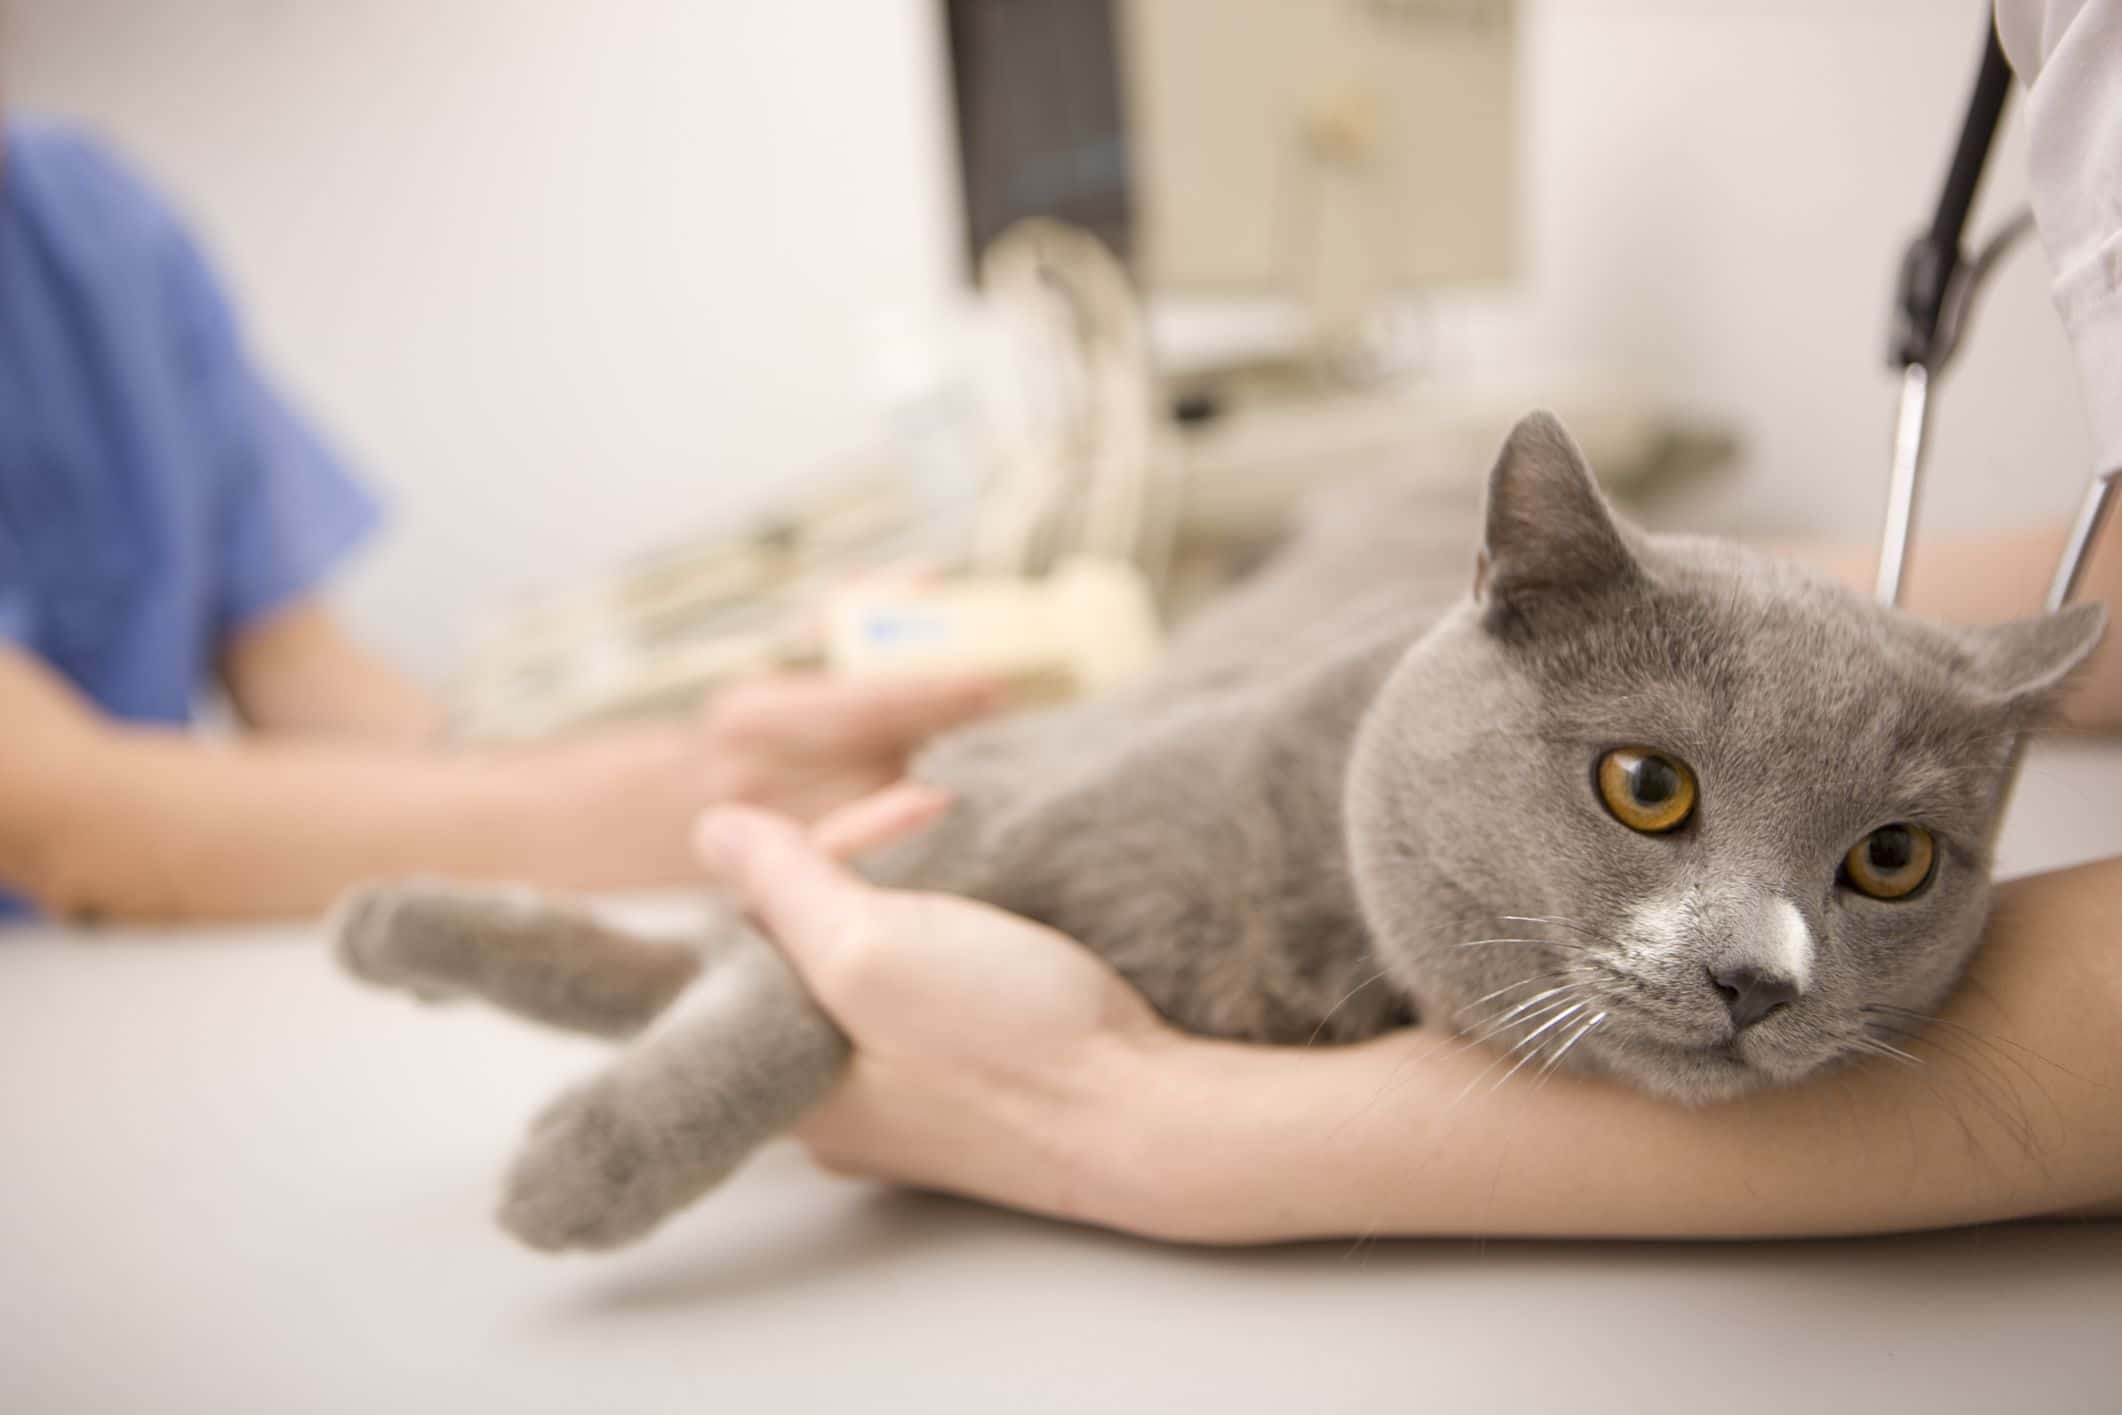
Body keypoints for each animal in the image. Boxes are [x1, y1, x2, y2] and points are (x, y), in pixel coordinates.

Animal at [335, 411, 2105, 1247]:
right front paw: (581, 1162)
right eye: (1646, 785)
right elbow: (774, 986)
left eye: (1890, 860)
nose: (1759, 977)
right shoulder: (979, 804)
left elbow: (758, 967)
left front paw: (565, 1133)